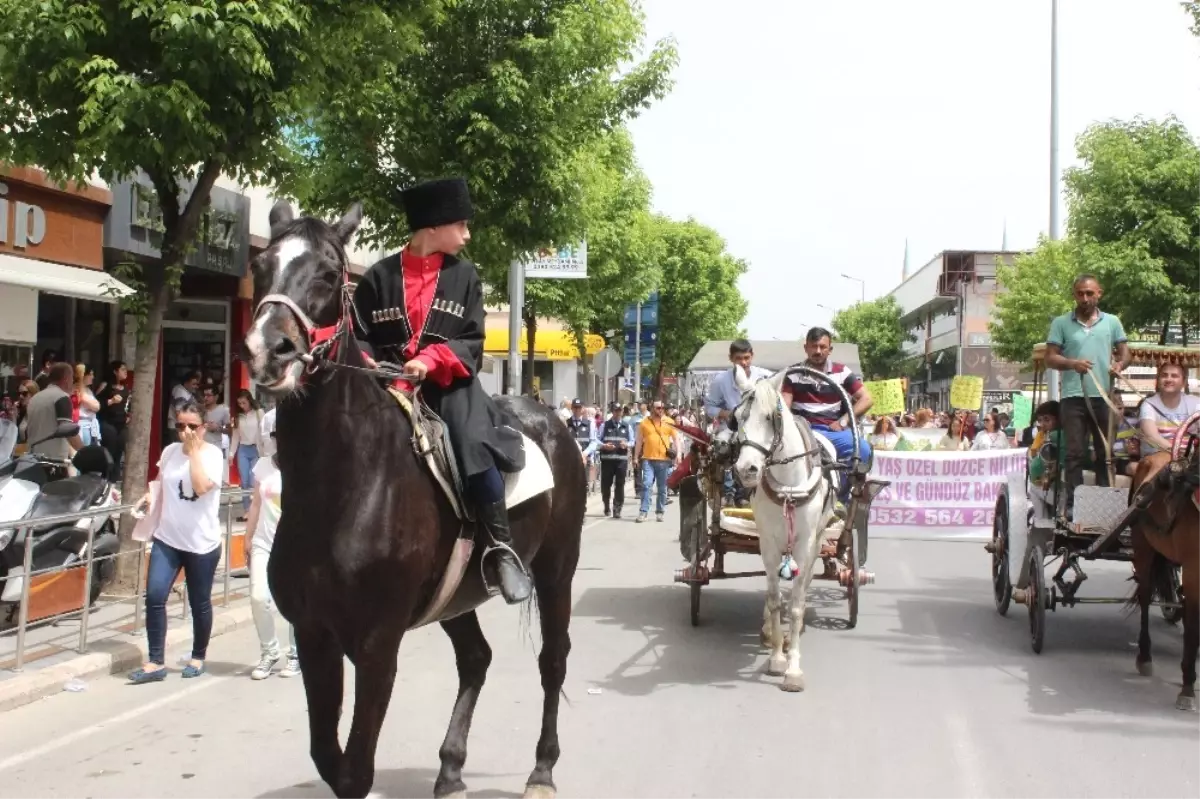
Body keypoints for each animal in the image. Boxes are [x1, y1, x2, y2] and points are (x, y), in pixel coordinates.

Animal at [242, 200, 585, 796]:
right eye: (261, 267)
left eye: (328, 275)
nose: (271, 352)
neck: (343, 488)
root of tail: (552, 421)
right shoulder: (314, 636)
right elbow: (327, 757)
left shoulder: (377, 645)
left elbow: (355, 769)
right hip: (457, 596)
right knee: (476, 659)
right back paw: (450, 768)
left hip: (556, 569)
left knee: (553, 660)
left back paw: (542, 768)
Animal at [729, 369, 835, 686]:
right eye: (736, 417)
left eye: (769, 417)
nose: (746, 469)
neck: (788, 486)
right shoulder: (768, 542)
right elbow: (775, 599)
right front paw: (776, 656)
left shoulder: (804, 543)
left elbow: (796, 605)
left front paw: (793, 667)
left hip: (818, 538)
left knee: (806, 580)